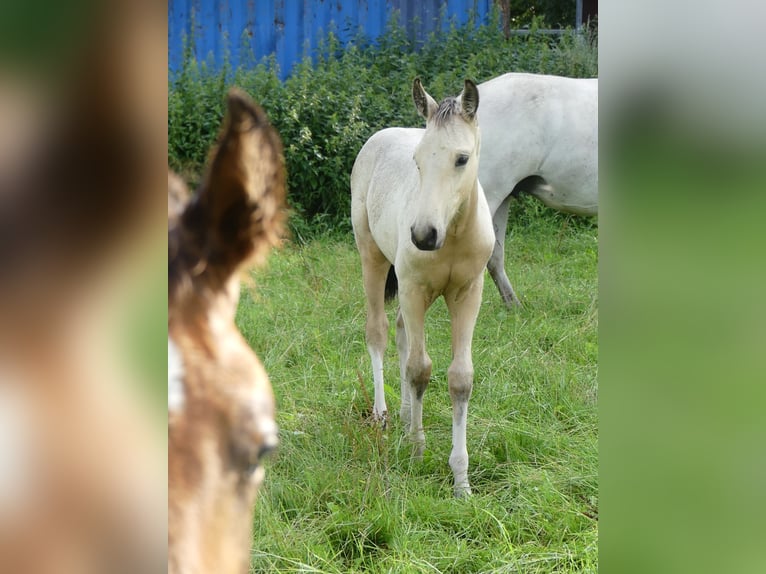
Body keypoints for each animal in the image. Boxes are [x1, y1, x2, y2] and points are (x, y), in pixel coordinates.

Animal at [352, 79, 496, 498]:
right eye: (417, 160)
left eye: (462, 159)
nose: (423, 235)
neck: (452, 234)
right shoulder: (414, 289)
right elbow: (419, 369)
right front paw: (417, 450)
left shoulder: (468, 294)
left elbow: (460, 378)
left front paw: (461, 480)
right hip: (372, 258)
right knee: (379, 332)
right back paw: (383, 414)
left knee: (401, 332)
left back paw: (403, 414)